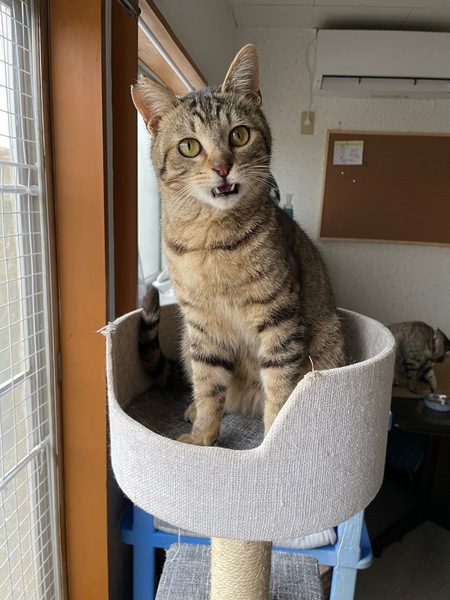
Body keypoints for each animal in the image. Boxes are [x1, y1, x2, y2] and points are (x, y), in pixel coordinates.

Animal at [132, 44, 345, 446]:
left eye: (240, 136)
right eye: (189, 146)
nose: (222, 167)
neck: (210, 240)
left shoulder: (279, 320)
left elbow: (280, 390)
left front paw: (272, 443)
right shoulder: (203, 329)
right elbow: (208, 386)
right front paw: (202, 436)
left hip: (329, 341)